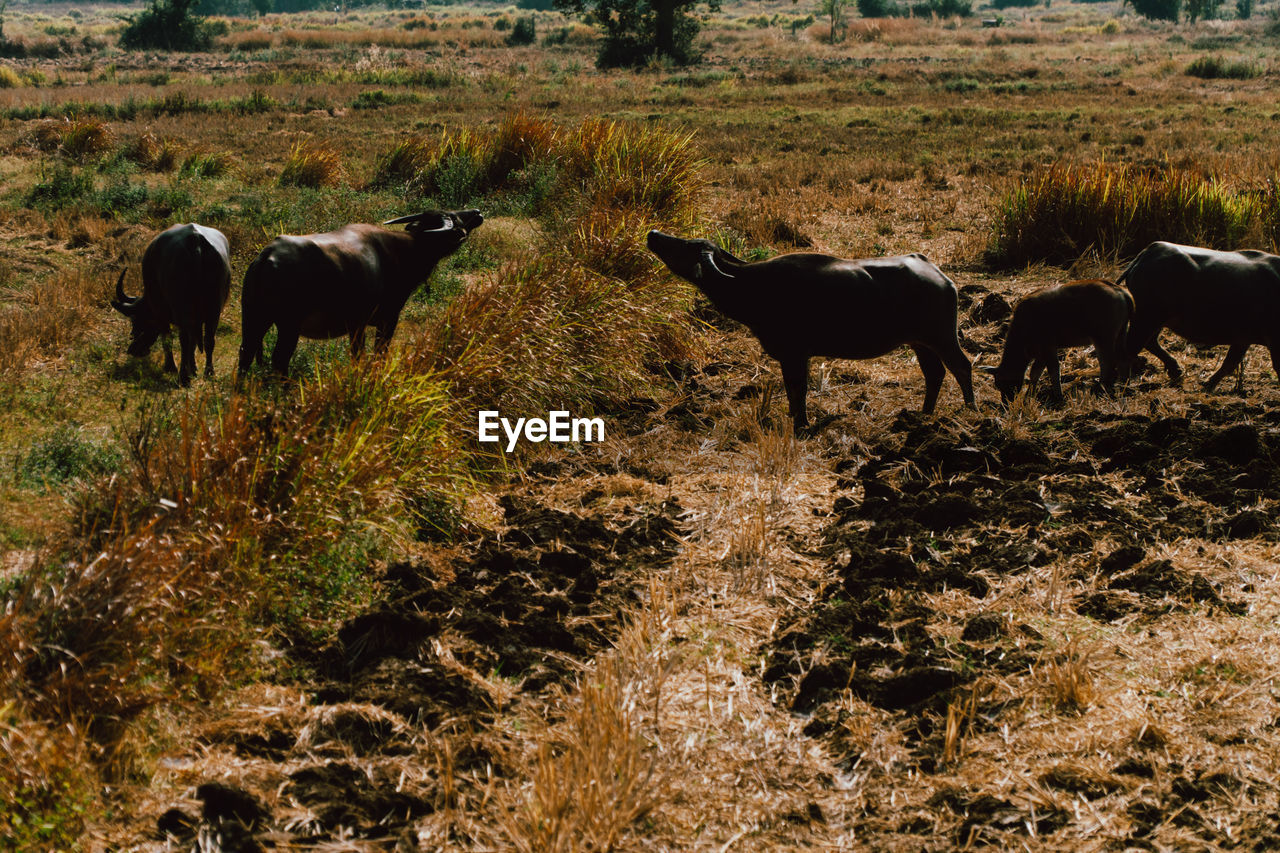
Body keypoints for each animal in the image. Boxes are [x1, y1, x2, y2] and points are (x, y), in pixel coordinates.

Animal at [110, 224, 232, 386]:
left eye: (137, 320)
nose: (133, 350)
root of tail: (195, 240)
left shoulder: (160, 312)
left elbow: (167, 338)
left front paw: (171, 367)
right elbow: (194, 341)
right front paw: (193, 369)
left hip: (183, 307)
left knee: (184, 339)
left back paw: (183, 377)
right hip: (214, 308)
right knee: (209, 339)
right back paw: (208, 372)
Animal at [238, 207, 481, 373]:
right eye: (455, 217)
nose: (476, 212)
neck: (403, 250)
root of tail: (267, 257)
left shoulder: (358, 326)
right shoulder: (384, 319)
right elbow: (374, 353)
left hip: (254, 318)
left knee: (245, 354)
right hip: (288, 325)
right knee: (279, 360)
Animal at [645, 229, 972, 432]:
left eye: (689, 246)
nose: (654, 234)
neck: (753, 286)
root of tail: (939, 276)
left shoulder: (795, 354)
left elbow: (797, 389)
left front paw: (800, 423)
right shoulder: (789, 357)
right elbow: (792, 390)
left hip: (942, 337)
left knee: (961, 366)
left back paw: (971, 407)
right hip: (920, 343)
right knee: (934, 374)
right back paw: (925, 413)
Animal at [983, 275, 1136, 402]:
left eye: (1003, 383)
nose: (1006, 402)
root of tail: (1119, 291)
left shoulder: (1049, 347)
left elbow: (1053, 371)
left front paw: (1058, 395)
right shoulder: (1041, 353)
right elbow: (1035, 373)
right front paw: (1030, 394)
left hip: (1103, 338)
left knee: (1107, 362)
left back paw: (1102, 386)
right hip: (1121, 334)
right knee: (1123, 359)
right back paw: (1124, 385)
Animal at [1121, 235, 1280, 389]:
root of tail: (1148, 252)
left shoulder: (1243, 339)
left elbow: (1230, 362)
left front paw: (1208, 384)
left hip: (1155, 320)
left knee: (1149, 343)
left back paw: (1176, 371)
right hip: (1147, 318)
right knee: (1130, 348)